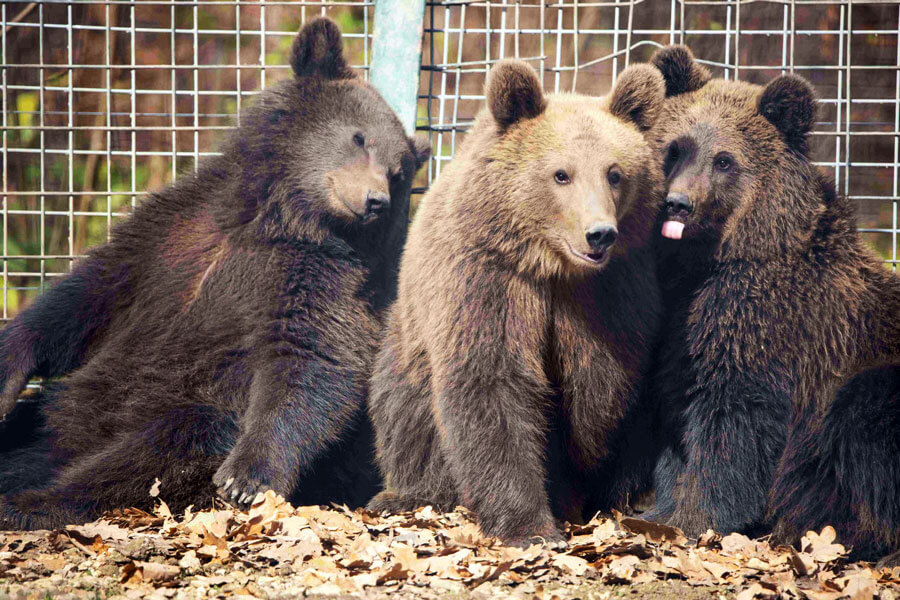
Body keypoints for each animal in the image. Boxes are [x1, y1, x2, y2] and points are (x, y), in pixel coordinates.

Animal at [0, 16, 430, 530]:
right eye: (359, 138)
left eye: (398, 173)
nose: (374, 200)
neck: (278, 217)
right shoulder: (174, 235)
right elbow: (91, 293)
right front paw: (8, 368)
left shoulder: (319, 277)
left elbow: (310, 357)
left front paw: (246, 476)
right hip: (67, 409)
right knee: (32, 430)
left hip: (176, 406)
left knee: (167, 445)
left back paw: (34, 501)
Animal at [367, 59, 666, 546]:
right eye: (561, 174)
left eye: (615, 172)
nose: (599, 234)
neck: (552, 265)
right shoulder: (488, 279)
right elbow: (492, 381)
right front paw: (530, 525)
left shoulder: (613, 294)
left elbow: (602, 393)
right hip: (408, 341)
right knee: (405, 412)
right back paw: (407, 493)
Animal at [642, 45, 900, 563]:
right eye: (675, 146)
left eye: (724, 160)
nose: (678, 203)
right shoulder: (680, 326)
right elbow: (677, 409)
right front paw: (662, 508)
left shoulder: (767, 323)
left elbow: (734, 421)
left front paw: (696, 517)